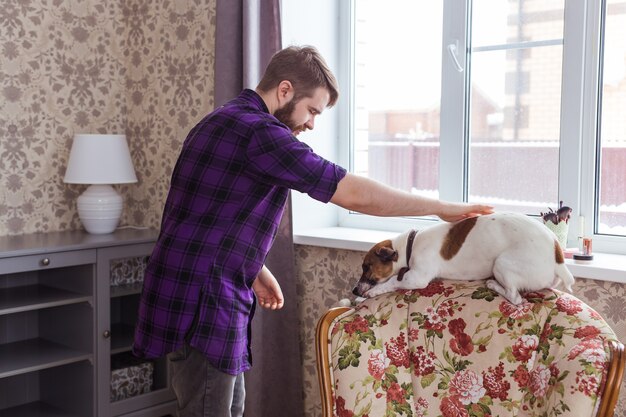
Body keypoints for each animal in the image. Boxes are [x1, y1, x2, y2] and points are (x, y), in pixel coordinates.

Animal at [352, 213, 572, 304]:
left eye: (366, 267)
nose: (354, 290)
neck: (410, 244)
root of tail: (557, 255)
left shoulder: (416, 278)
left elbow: (392, 282)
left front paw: (373, 291)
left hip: (501, 264)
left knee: (515, 297)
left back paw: (493, 285)